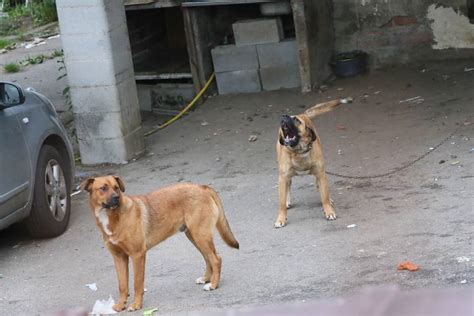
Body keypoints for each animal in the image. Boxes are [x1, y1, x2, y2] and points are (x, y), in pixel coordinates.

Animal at [80, 177, 241, 312]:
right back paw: (206, 279)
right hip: (194, 236)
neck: (113, 217)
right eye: (103, 188)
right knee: (208, 258)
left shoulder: (138, 255)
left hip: (201, 235)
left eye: (117, 188)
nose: (116, 198)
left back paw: (213, 285)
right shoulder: (119, 258)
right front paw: (121, 305)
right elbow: (123, 285)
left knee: (216, 259)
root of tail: (203, 187)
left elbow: (137, 284)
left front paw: (136, 305)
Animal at [274, 97, 352, 228]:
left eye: (296, 120)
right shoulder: (283, 177)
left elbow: (324, 197)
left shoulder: (321, 173)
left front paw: (329, 211)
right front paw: (281, 218)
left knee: (320, 186)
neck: (298, 152)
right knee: (288, 186)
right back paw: (287, 200)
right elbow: (281, 204)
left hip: (320, 173)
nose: (284, 116)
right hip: (285, 176)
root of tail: (303, 114)